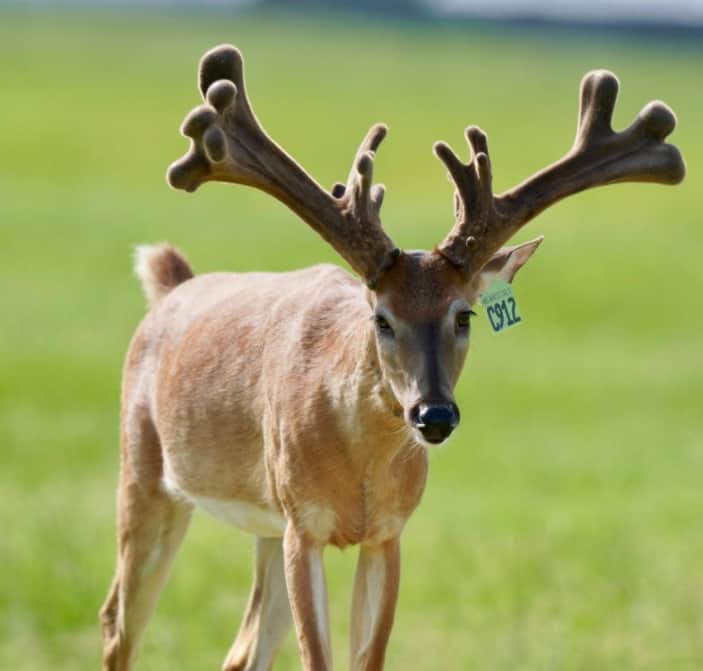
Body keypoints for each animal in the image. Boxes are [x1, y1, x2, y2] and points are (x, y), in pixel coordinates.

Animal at [100, 44, 685, 671]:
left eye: (464, 315)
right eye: (381, 318)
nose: (435, 415)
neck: (360, 470)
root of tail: (171, 287)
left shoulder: (386, 532)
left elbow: (367, 657)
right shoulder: (305, 525)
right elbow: (317, 658)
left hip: (263, 522)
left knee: (241, 651)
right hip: (144, 471)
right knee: (116, 622)